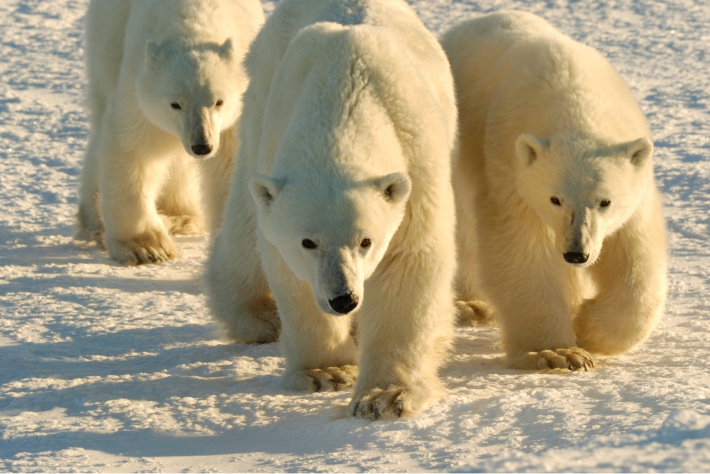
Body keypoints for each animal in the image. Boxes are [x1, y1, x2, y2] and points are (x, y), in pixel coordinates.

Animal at [75, 0, 264, 265]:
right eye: (175, 104)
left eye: (219, 101)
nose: (202, 145)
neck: (194, 25)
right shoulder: (141, 84)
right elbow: (133, 147)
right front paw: (146, 248)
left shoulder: (237, 110)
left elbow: (230, 164)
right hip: (108, 35)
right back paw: (95, 221)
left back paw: (181, 217)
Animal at [205, 0, 459, 419]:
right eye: (308, 242)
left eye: (366, 241)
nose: (344, 299)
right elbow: (288, 271)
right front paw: (326, 372)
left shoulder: (417, 166)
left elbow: (409, 262)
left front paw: (384, 396)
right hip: (257, 107)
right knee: (244, 219)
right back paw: (256, 314)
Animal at [440, 11, 667, 370]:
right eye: (555, 199)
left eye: (605, 201)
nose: (577, 253)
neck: (574, 101)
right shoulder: (509, 167)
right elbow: (520, 247)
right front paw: (557, 352)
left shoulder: (634, 190)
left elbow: (634, 253)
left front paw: (586, 325)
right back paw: (470, 304)